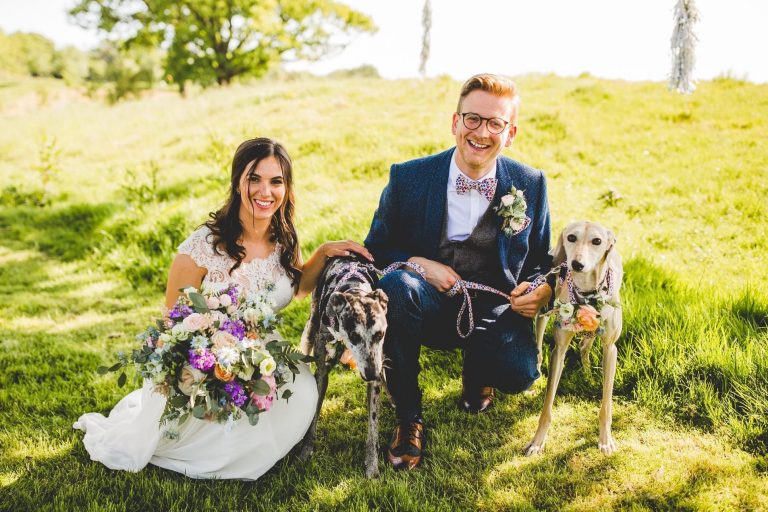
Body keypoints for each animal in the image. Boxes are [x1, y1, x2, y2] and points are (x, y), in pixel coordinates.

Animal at [524, 222, 620, 454]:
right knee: (538, 347)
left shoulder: (610, 348)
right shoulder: (559, 350)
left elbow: (606, 405)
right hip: (542, 309)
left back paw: (587, 374)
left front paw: (605, 440)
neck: (585, 292)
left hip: (595, 332)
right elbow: (547, 406)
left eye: (597, 241)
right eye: (571, 237)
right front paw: (537, 442)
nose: (576, 264)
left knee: (585, 346)